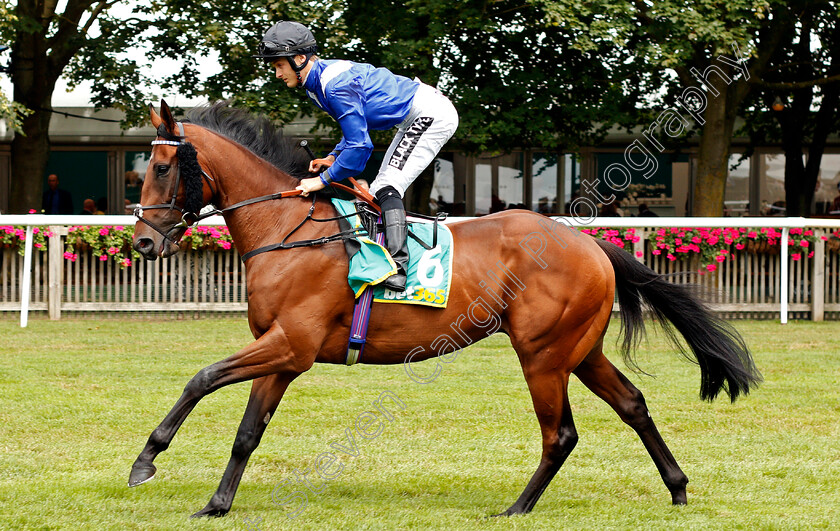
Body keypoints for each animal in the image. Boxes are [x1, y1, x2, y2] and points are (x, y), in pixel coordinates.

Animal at [130, 101, 760, 520]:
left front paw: (146, 460)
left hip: (543, 353)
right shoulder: (282, 351)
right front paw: (216, 503)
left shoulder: (293, 344)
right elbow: (247, 432)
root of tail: (587, 241)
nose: (141, 243)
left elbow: (201, 378)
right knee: (632, 404)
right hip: (579, 350)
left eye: (161, 167)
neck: (285, 228)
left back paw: (517, 508)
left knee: (560, 433)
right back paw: (677, 486)